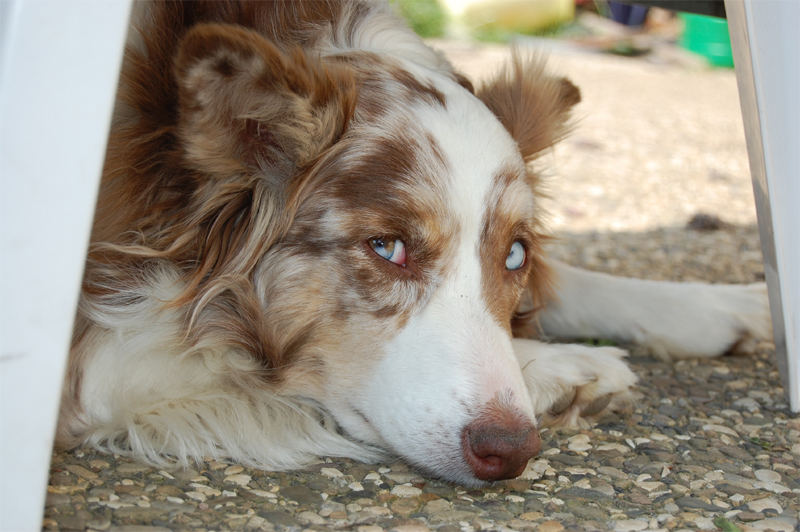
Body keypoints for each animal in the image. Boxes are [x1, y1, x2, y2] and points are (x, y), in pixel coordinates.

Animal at [54, 0, 768, 484]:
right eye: (388, 247)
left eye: (515, 254)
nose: (510, 452)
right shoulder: (99, 348)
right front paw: (561, 366)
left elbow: (573, 279)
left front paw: (724, 304)